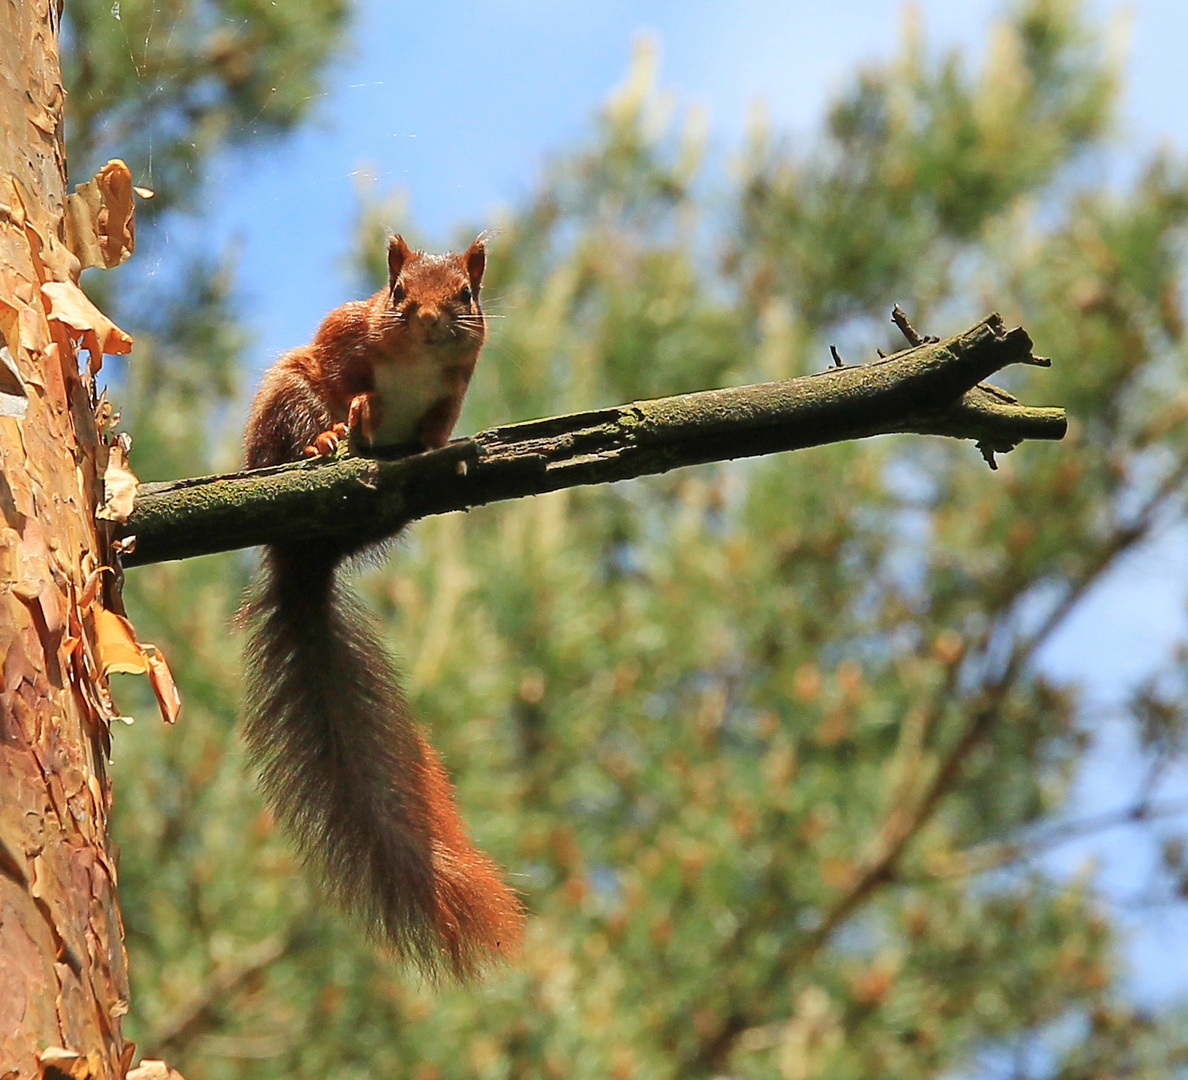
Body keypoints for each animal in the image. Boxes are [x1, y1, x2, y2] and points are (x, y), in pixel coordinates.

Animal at [238, 231, 522, 974]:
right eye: (396, 292)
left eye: (466, 294)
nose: (426, 319)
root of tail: (306, 558)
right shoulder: (344, 335)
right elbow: (341, 377)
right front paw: (354, 417)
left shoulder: (456, 385)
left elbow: (439, 424)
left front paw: (441, 447)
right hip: (284, 395)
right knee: (298, 422)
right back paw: (328, 440)